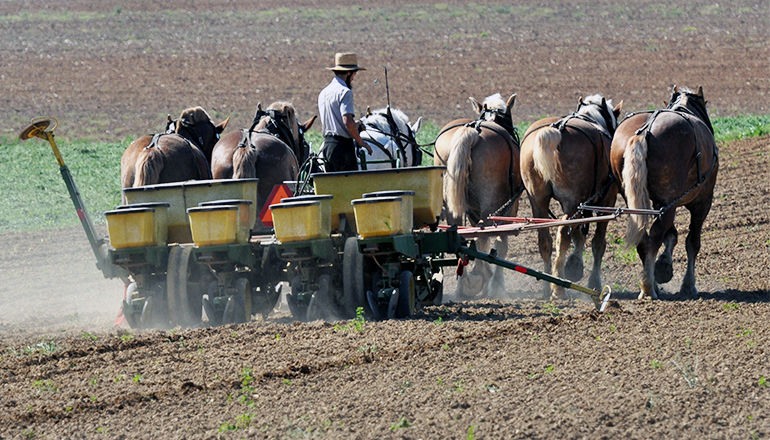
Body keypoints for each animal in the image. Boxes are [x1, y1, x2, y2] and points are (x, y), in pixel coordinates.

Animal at [432, 93, 520, 300]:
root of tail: (472, 132)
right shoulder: (509, 207)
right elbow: (499, 243)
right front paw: (495, 284)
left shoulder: (473, 210)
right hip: (492, 203)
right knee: (483, 233)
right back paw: (488, 281)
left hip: (452, 204)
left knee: (459, 235)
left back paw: (462, 287)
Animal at [520, 93, 620, 300]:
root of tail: (554, 130)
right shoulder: (606, 201)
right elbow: (598, 243)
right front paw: (593, 282)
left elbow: (578, 235)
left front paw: (575, 265)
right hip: (573, 201)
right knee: (562, 233)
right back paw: (559, 289)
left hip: (538, 200)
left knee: (545, 240)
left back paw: (547, 286)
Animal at [608, 86, 716, 300]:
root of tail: (642, 132)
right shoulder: (702, 203)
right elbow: (692, 242)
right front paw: (688, 285)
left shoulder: (660, 203)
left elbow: (672, 235)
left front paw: (664, 266)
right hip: (672, 201)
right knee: (656, 236)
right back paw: (649, 288)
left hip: (640, 203)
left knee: (644, 238)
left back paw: (651, 283)